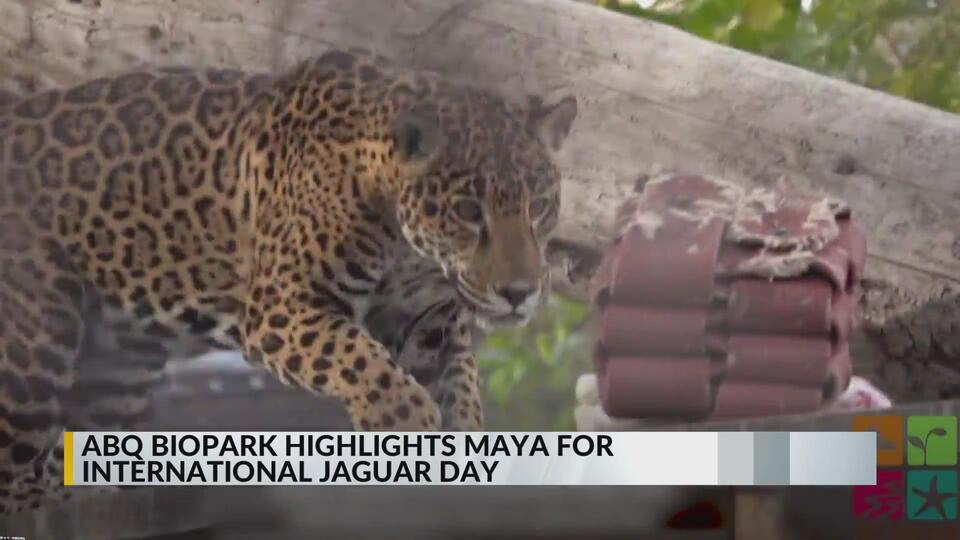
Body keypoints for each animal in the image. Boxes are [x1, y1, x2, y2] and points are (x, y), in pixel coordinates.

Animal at [0, 48, 577, 512]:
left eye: (540, 207)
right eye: (468, 211)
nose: (520, 293)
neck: (411, 253)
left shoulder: (432, 330)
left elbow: (461, 392)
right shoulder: (285, 307)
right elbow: (368, 366)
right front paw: (404, 428)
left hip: (115, 370)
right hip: (33, 343)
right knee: (14, 472)